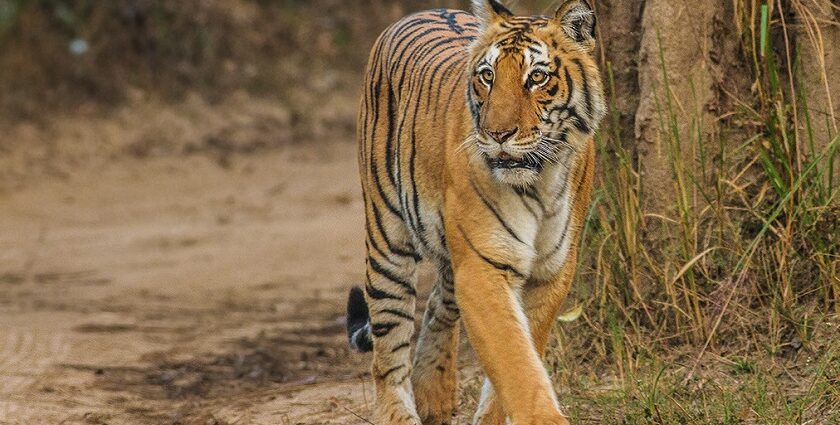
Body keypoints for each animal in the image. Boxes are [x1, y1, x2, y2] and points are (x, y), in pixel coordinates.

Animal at [344, 0, 608, 420]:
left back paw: (434, 392)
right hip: (388, 238)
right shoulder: (483, 267)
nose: (497, 134)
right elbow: (515, 359)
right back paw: (401, 412)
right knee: (388, 351)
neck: (540, 181)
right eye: (488, 76)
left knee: (438, 304)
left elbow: (522, 351)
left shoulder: (552, 271)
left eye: (536, 77)